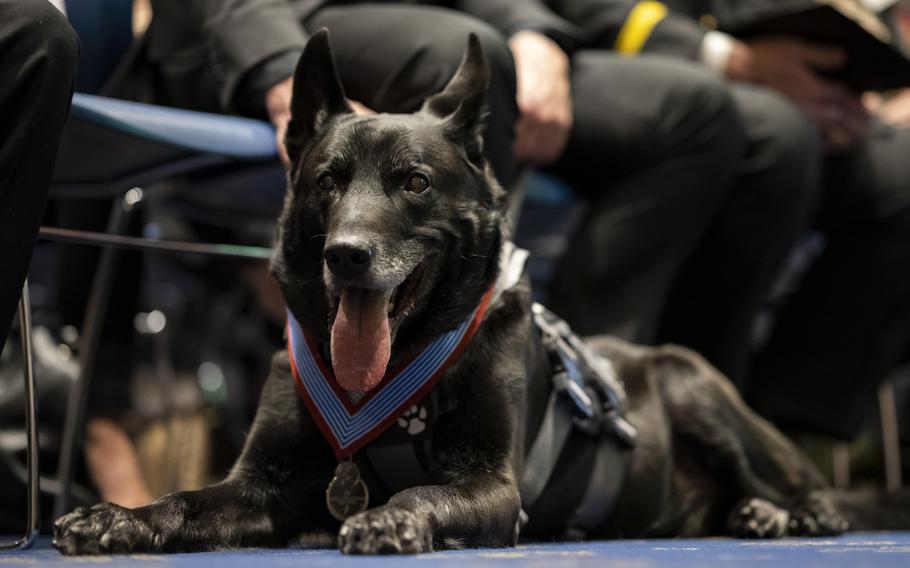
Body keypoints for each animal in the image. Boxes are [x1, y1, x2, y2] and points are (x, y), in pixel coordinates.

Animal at [55, 30, 904, 556]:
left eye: (414, 184)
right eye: (328, 181)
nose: (346, 257)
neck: (384, 383)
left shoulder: (492, 487)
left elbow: (425, 494)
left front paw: (390, 520)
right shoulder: (258, 487)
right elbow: (187, 500)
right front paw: (119, 517)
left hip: (697, 386)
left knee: (802, 489)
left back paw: (788, 510)